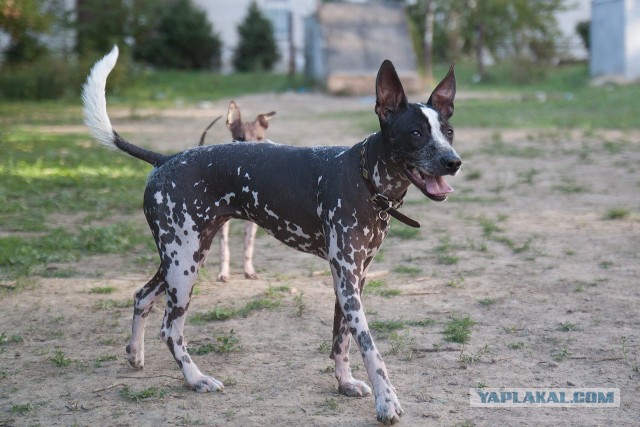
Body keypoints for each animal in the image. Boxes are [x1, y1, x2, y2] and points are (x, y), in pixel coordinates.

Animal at [81, 46, 460, 424]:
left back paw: (135, 354)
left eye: (449, 131)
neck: (364, 177)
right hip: (184, 266)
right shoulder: (347, 279)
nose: (453, 161)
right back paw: (195, 378)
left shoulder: (352, 279)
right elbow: (369, 347)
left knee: (141, 296)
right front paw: (386, 401)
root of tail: (165, 159)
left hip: (182, 257)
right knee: (170, 329)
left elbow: (341, 339)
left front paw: (344, 382)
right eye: (416, 133)